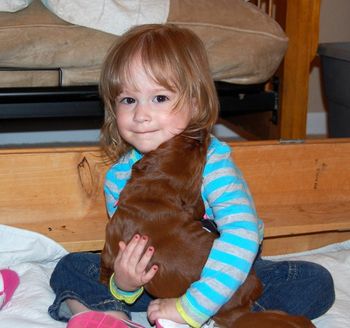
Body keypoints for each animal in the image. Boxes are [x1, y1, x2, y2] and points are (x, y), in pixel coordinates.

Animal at [99, 132, 314, 326]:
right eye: (193, 146)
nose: (201, 135)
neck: (154, 193)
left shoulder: (110, 246)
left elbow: (105, 262)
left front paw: (104, 279)